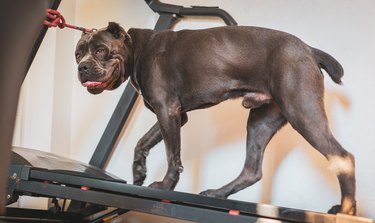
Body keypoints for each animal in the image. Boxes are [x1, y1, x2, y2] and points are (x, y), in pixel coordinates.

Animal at [75, 22, 356, 214]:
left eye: (100, 50)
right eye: (78, 53)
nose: (82, 67)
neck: (137, 49)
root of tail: (309, 50)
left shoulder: (168, 111)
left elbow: (172, 157)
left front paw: (165, 187)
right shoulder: (176, 115)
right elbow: (142, 142)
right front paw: (138, 171)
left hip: (301, 111)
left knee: (343, 157)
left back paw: (345, 210)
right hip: (261, 122)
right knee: (252, 170)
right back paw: (218, 193)